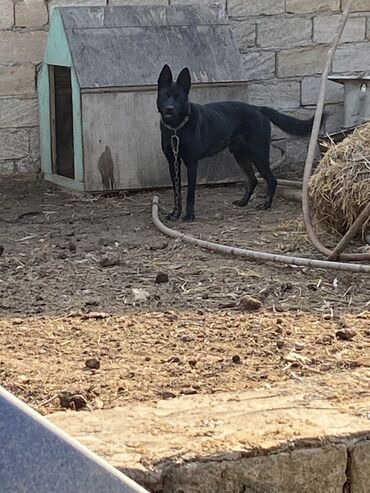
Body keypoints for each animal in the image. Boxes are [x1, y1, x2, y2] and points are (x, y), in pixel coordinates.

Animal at [158, 64, 316, 222]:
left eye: (178, 97)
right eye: (165, 95)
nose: (169, 109)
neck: (176, 128)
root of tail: (258, 109)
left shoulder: (192, 163)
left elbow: (190, 193)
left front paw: (189, 215)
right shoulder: (173, 163)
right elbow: (176, 192)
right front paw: (175, 213)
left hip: (258, 154)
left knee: (272, 180)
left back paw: (266, 205)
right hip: (241, 155)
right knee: (253, 180)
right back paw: (244, 201)